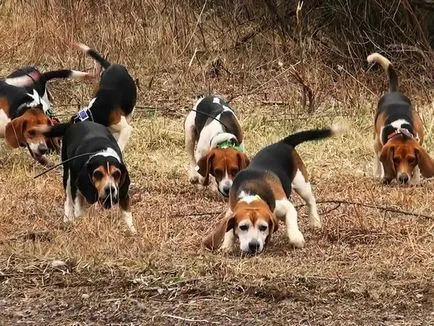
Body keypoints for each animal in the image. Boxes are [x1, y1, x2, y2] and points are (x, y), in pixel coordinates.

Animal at [202, 125, 344, 255]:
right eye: (243, 227)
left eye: (263, 227)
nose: (254, 245)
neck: (251, 192)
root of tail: (283, 143)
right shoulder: (231, 209)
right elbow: (228, 231)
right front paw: (226, 246)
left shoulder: (286, 206)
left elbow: (293, 229)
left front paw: (297, 238)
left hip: (302, 184)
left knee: (311, 201)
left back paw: (315, 222)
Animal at [368, 52, 434, 183]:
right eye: (395, 160)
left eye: (412, 159)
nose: (403, 178)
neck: (400, 130)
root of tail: (393, 92)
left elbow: (417, 166)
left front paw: (415, 181)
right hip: (376, 141)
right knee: (377, 157)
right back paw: (378, 174)